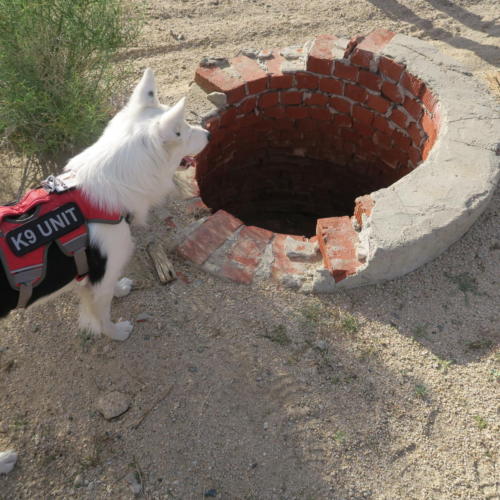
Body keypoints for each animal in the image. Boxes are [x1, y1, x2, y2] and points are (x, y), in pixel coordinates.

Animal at [0, 69, 210, 340]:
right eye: (183, 131)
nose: (209, 134)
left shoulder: (97, 277)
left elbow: (108, 291)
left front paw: (120, 289)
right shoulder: (103, 275)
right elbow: (102, 314)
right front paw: (116, 332)